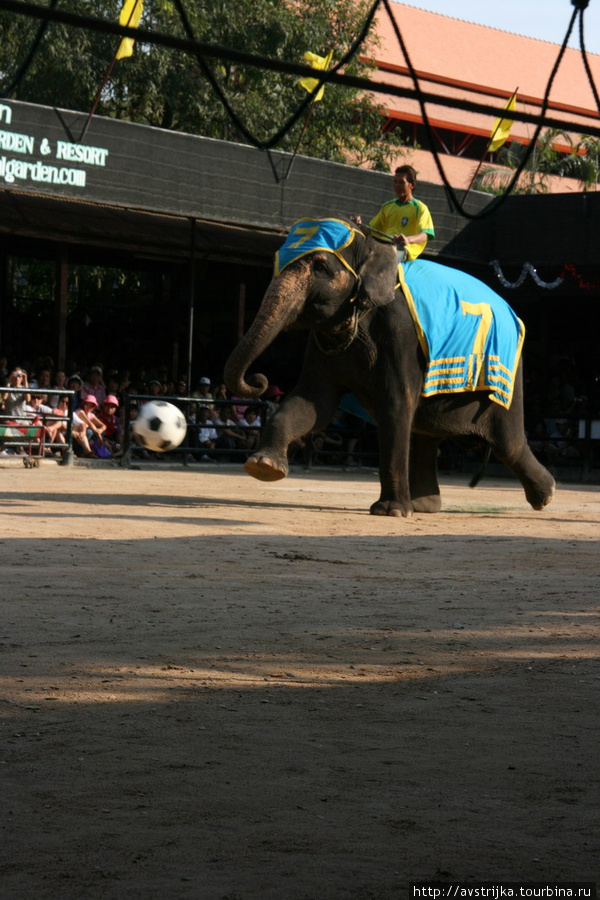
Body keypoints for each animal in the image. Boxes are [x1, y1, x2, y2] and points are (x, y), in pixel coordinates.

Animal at [223, 214, 556, 516]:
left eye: (320, 268)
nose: (259, 380)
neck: (372, 246)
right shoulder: (323, 344)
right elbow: (313, 402)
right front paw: (264, 467)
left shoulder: (401, 333)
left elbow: (395, 405)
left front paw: (390, 512)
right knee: (425, 433)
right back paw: (425, 506)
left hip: (508, 372)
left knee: (507, 442)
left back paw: (546, 496)